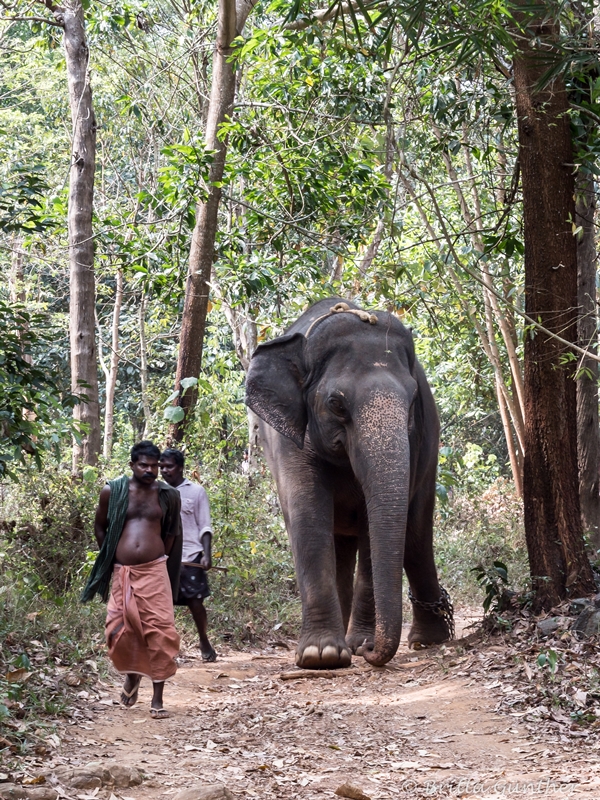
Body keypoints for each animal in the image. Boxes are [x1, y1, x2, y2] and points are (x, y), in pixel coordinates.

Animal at [244, 296, 450, 668]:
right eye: (336, 403)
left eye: (413, 401)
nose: (369, 653)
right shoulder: (287, 437)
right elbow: (307, 514)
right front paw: (321, 654)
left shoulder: (415, 438)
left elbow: (373, 524)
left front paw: (358, 644)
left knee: (416, 535)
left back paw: (427, 640)